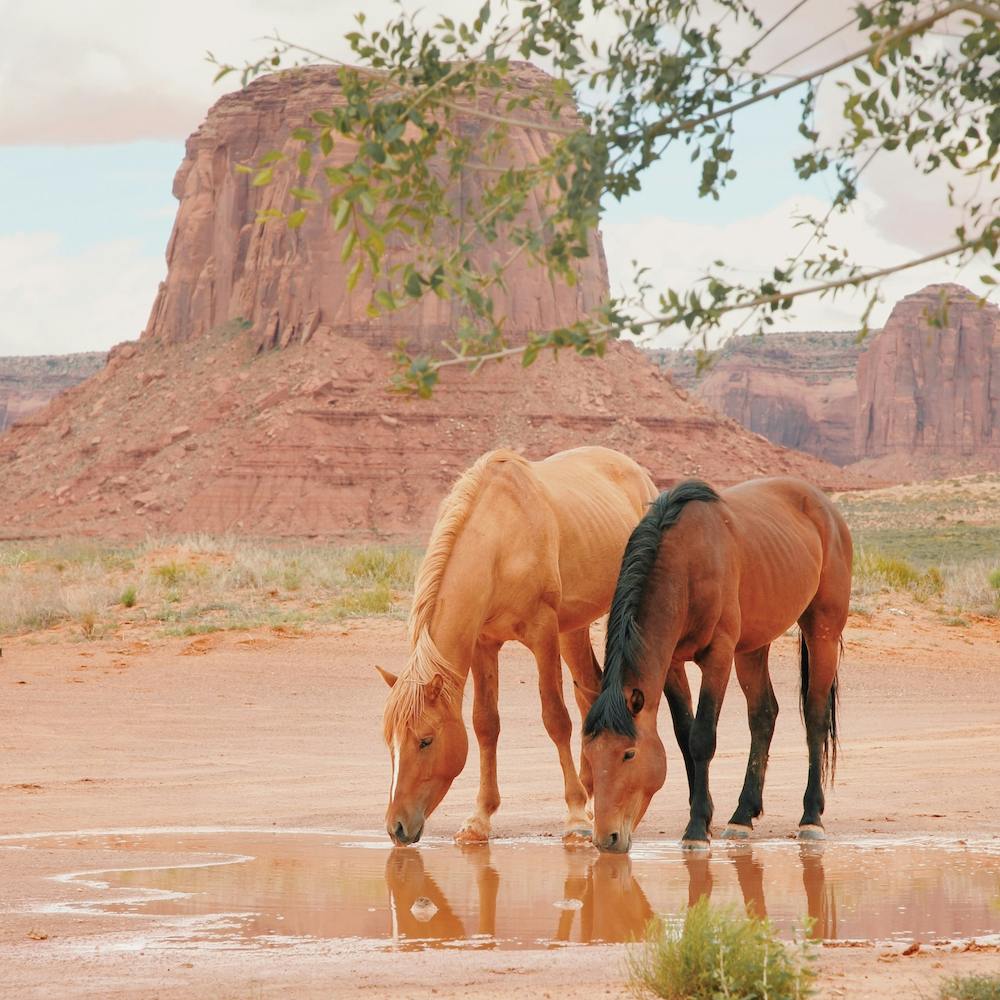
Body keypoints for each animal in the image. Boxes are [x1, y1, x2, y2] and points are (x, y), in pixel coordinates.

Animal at [378, 446, 658, 846]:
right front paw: (479, 819)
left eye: (425, 741)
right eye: (390, 742)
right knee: (589, 691)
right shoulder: (484, 643)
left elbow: (555, 718)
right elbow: (485, 723)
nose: (397, 828)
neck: (501, 539)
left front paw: (575, 816)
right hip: (573, 628)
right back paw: (594, 794)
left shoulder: (542, 633)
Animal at [583, 476, 852, 852]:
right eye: (589, 755)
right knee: (763, 716)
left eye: (629, 754)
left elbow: (702, 737)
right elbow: (684, 735)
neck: (686, 565)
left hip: (822, 631)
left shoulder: (718, 656)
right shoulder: (672, 663)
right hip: (753, 647)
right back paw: (742, 816)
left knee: (814, 717)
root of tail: (825, 506)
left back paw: (811, 818)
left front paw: (697, 828)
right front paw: (703, 815)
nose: (606, 838)